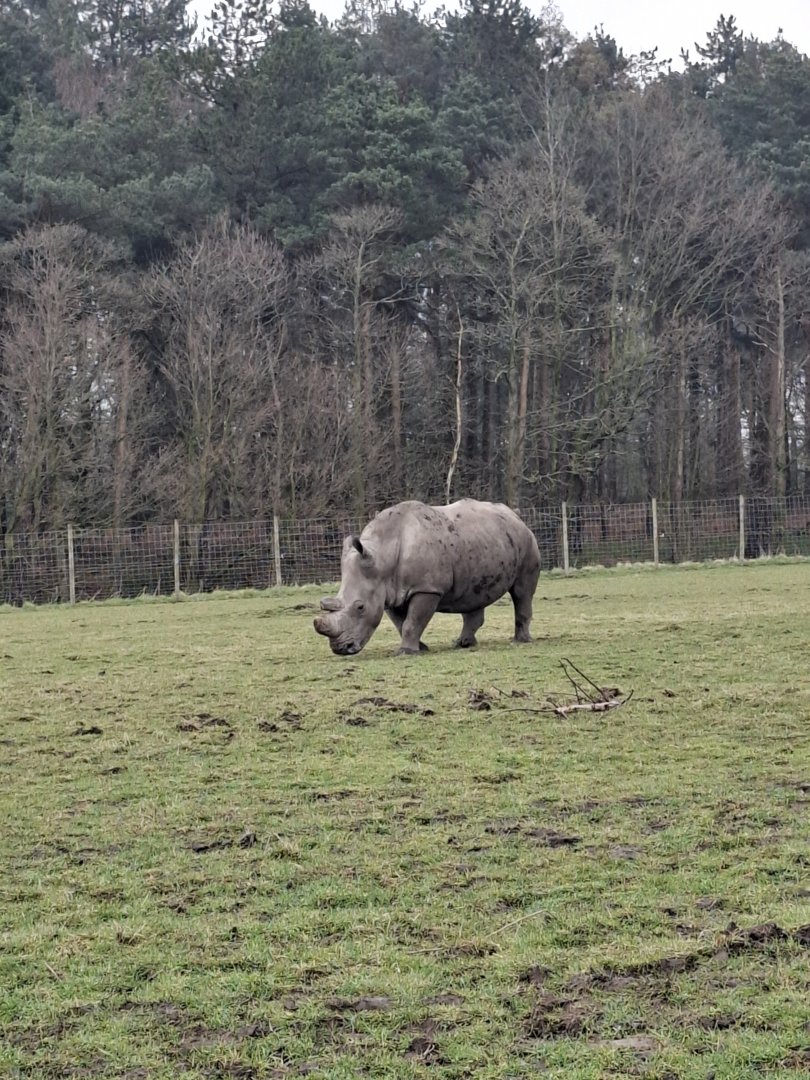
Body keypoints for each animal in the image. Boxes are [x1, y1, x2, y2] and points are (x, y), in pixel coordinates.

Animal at [313, 499, 541, 656]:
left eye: (360, 607)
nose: (341, 648)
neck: (382, 553)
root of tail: (516, 516)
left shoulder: (427, 588)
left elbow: (412, 621)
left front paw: (406, 652)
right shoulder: (389, 593)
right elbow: (401, 623)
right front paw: (420, 648)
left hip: (527, 541)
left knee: (522, 591)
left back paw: (519, 641)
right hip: (485, 542)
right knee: (474, 595)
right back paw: (463, 644)